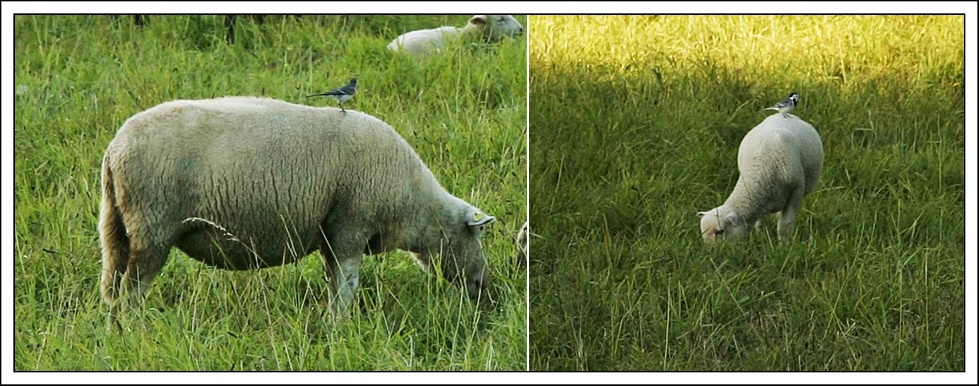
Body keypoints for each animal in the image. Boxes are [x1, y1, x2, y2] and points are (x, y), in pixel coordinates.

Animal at [101, 96, 498, 326]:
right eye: (477, 235)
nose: (484, 290)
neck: (414, 207)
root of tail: (115, 148)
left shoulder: (330, 232)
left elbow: (335, 280)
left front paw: (333, 321)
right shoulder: (351, 224)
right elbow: (347, 283)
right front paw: (340, 325)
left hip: (120, 227)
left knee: (115, 286)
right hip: (153, 226)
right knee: (131, 292)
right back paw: (133, 330)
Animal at [696, 113, 828, 243]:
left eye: (720, 232)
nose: (711, 250)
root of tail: (780, 114)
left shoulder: (796, 192)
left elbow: (784, 225)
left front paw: (784, 244)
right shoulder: (760, 203)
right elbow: (760, 223)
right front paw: (762, 236)